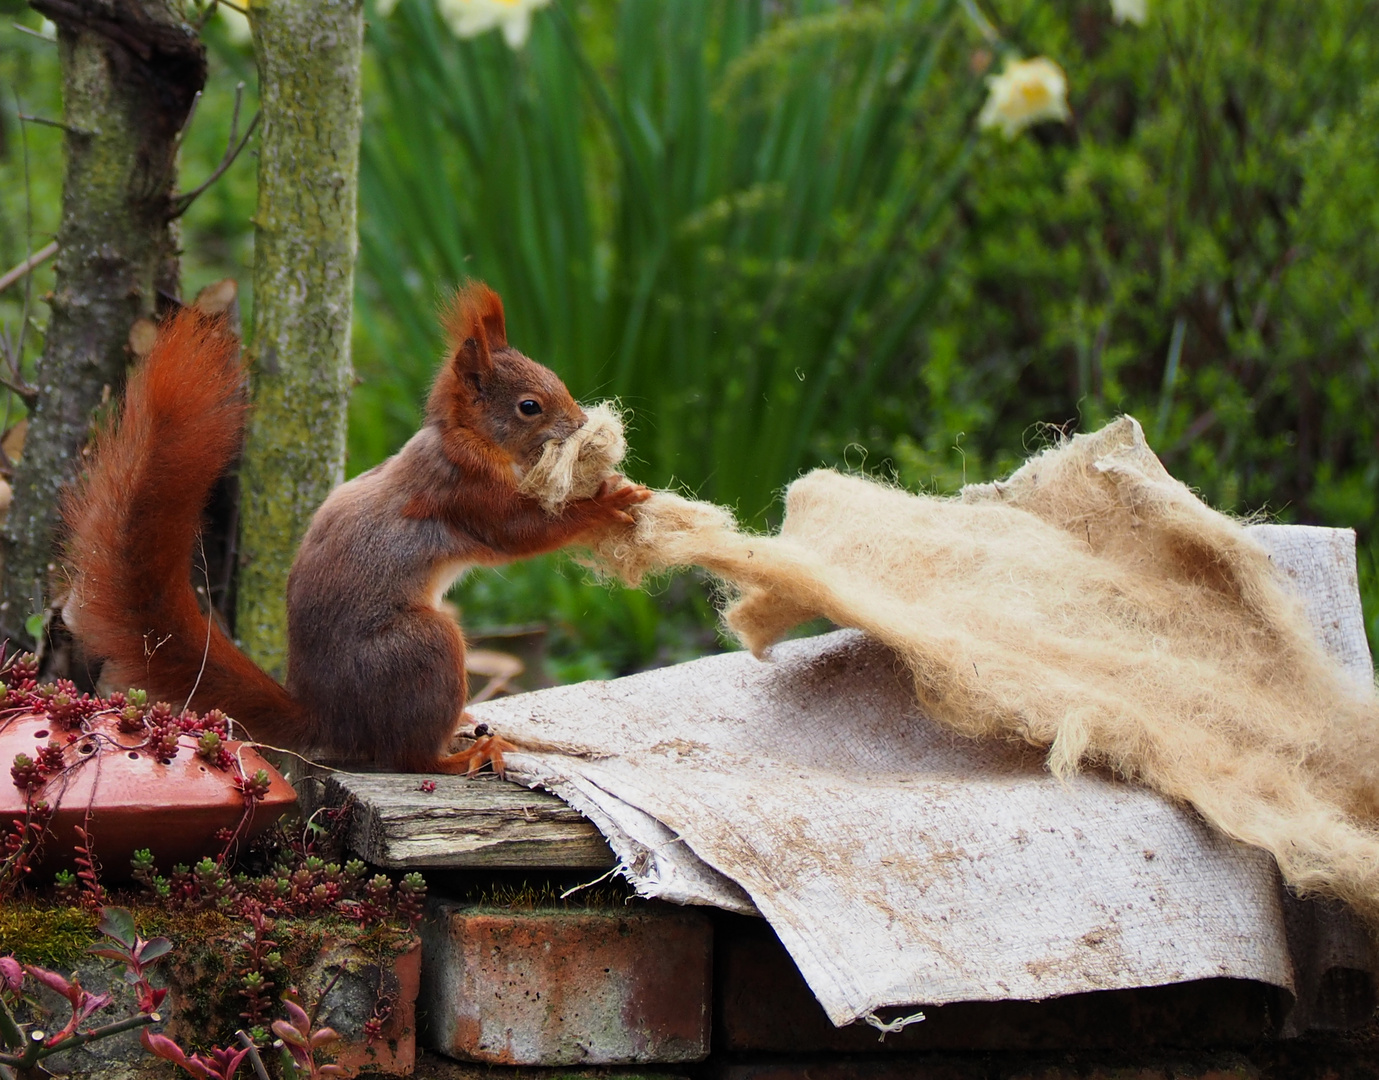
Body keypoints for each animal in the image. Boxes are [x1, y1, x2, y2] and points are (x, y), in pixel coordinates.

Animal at [59, 286, 650, 772]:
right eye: (530, 406)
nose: (581, 425)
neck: (465, 439)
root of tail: (330, 720)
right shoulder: (463, 494)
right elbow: (519, 533)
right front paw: (605, 503)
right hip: (424, 648)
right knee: (409, 757)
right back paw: (463, 754)